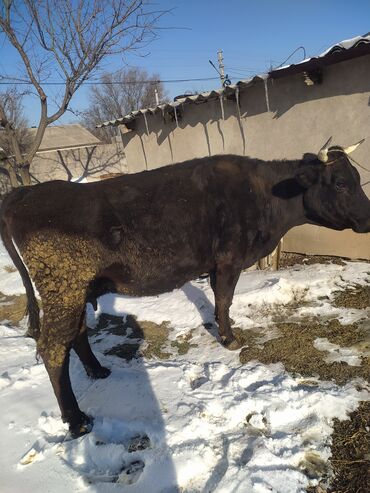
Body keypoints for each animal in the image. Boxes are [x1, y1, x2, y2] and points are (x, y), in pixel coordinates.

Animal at [0, 137, 370, 434]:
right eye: (339, 182)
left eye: (356, 178)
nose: (368, 219)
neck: (262, 195)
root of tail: (25, 191)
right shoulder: (228, 261)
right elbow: (224, 300)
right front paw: (230, 339)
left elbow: (219, 301)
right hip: (64, 288)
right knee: (52, 348)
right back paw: (77, 421)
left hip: (75, 291)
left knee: (75, 334)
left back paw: (98, 371)